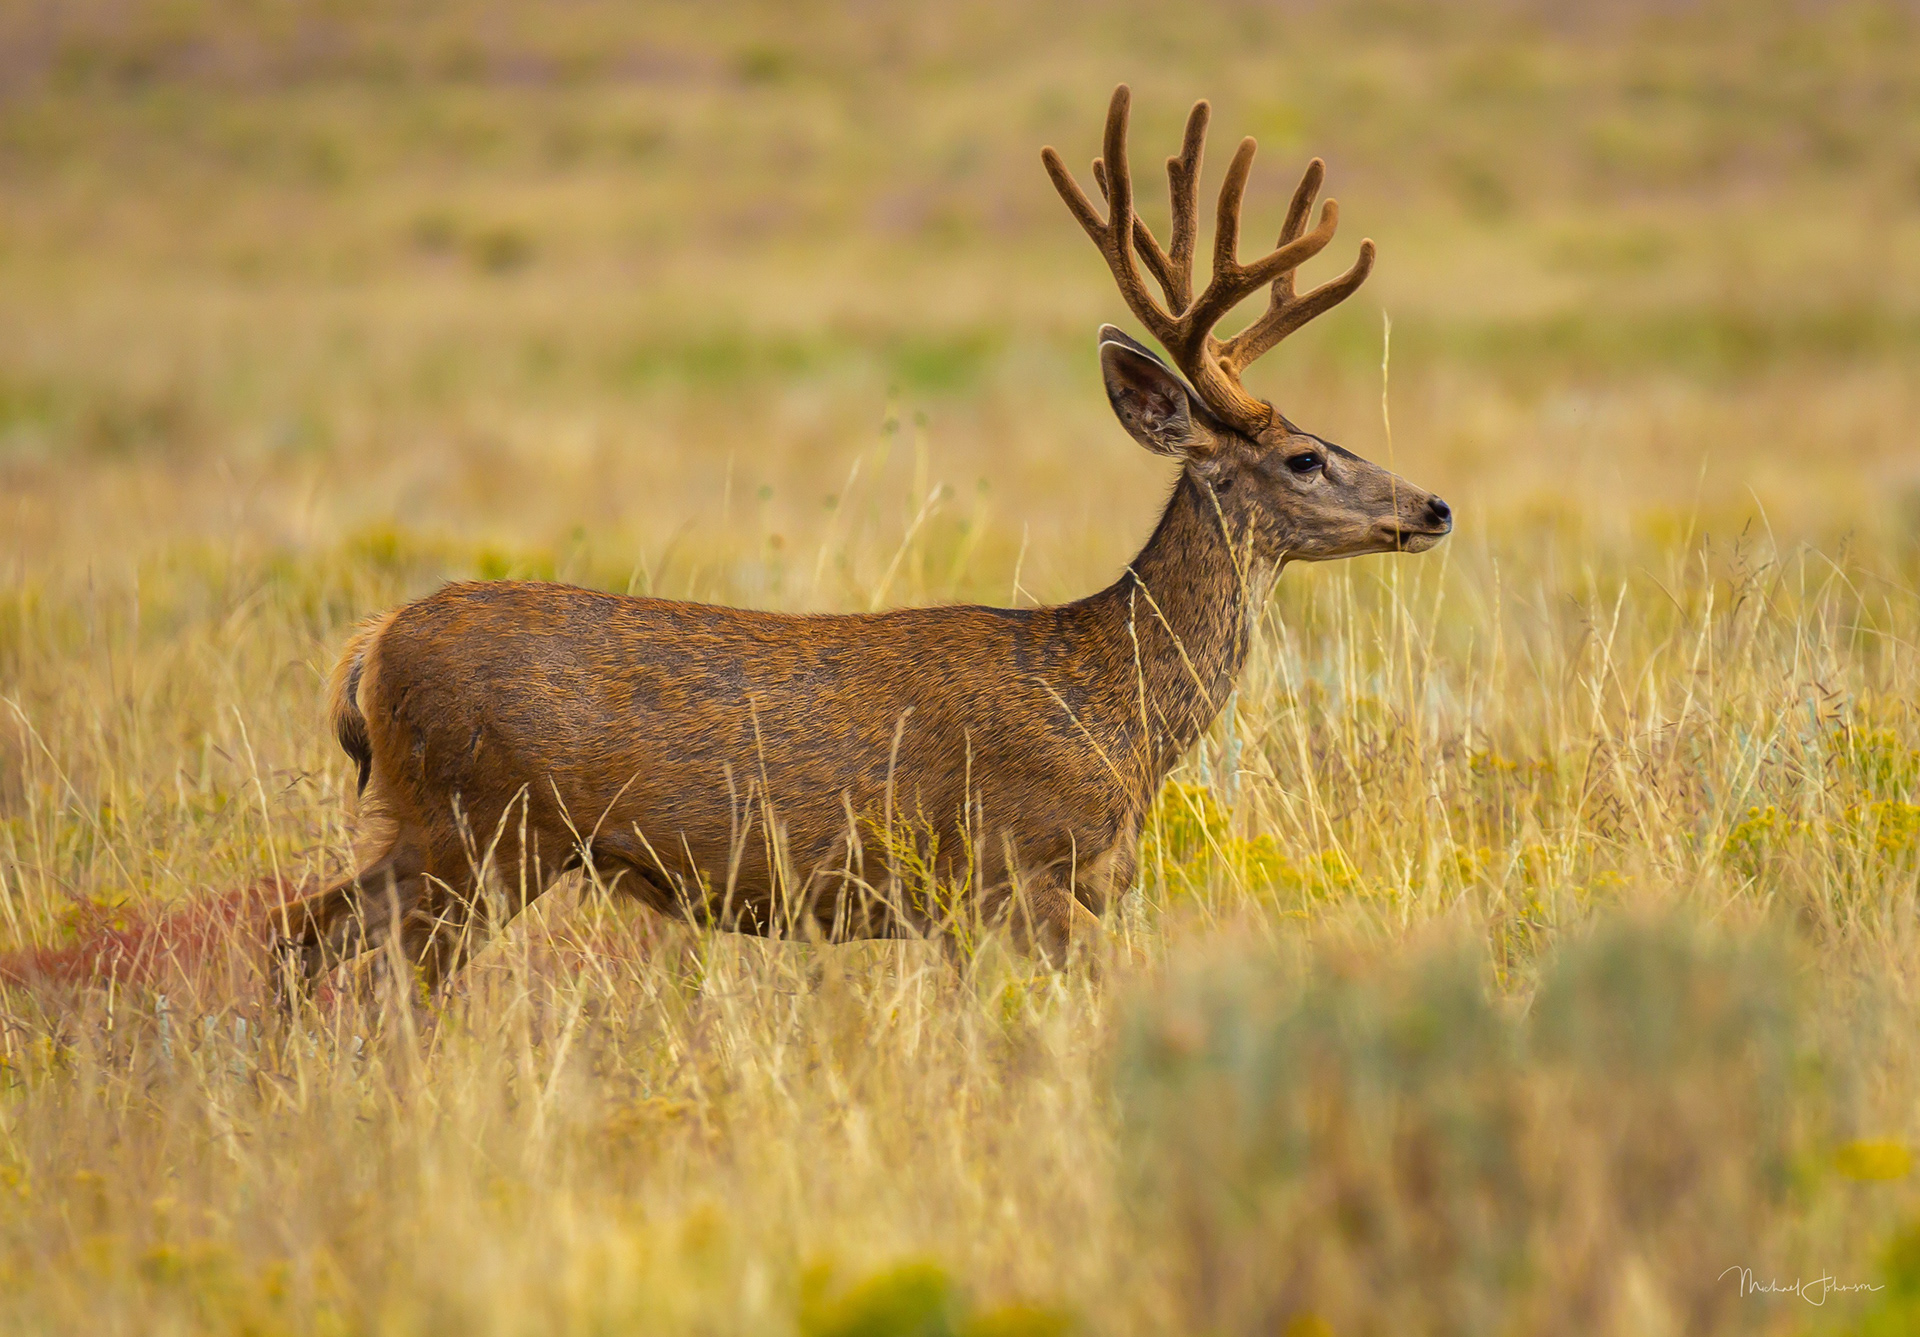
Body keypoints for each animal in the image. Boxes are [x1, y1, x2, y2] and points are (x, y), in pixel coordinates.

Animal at [273, 85, 1451, 996]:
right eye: (1305, 456)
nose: (1435, 505)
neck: (1109, 706)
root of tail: (372, 645)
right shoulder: (1007, 868)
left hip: (438, 831)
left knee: (303, 938)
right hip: (477, 825)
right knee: (361, 965)